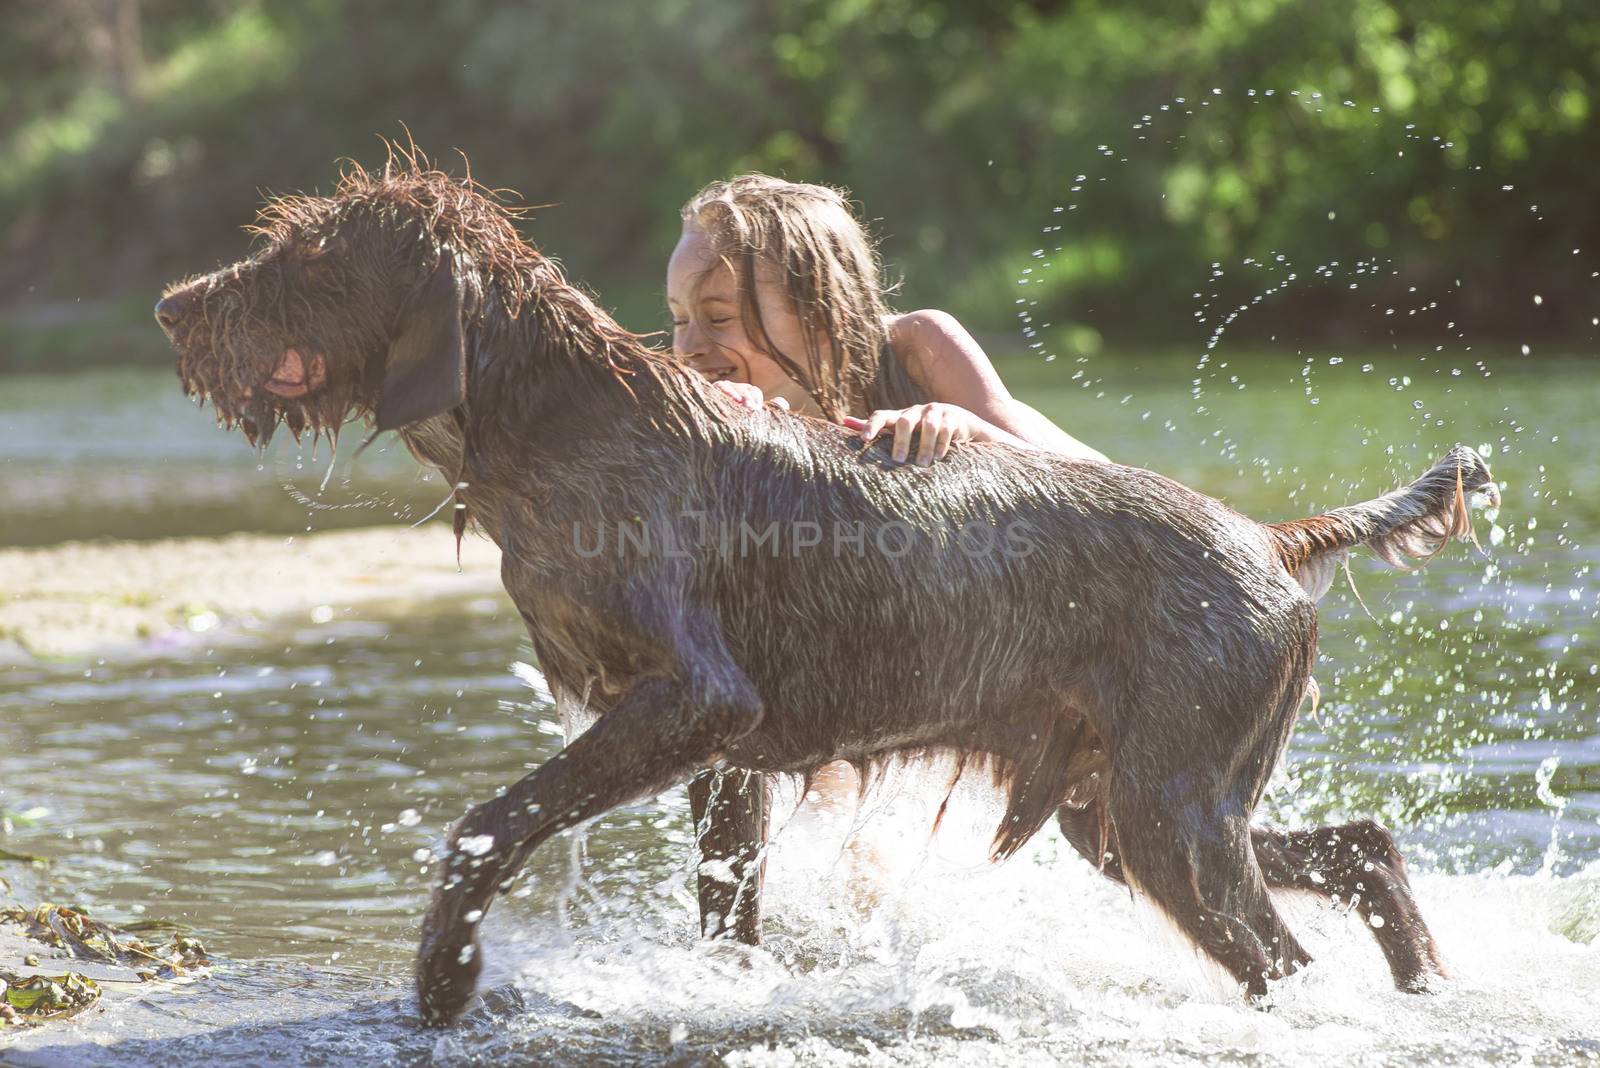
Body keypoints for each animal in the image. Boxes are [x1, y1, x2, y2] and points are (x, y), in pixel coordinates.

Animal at [156, 150, 1491, 1023]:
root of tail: (1269, 537)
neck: (547, 421)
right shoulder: (715, 748)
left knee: (1286, 962)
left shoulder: (695, 699)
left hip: (1168, 816)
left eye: (304, 253)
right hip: (1125, 803)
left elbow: (489, 821)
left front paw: (445, 976)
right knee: (1362, 847)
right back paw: (1429, 975)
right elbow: (724, 901)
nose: (171, 306)